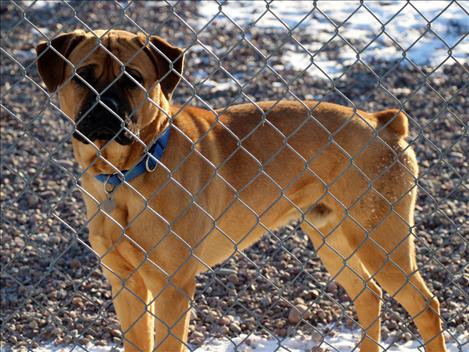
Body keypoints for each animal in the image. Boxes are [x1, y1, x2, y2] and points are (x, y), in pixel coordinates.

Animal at [34, 30, 444, 352]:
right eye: (82, 77)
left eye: (132, 79)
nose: (106, 106)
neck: (123, 175)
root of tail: (383, 122)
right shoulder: (125, 283)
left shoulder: (172, 286)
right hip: (334, 240)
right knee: (369, 296)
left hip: (382, 242)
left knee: (426, 305)